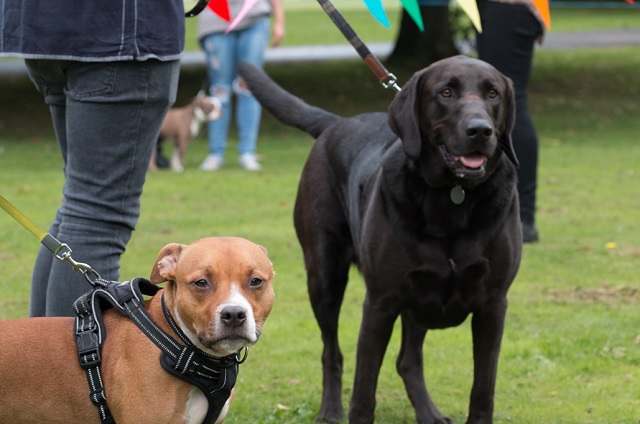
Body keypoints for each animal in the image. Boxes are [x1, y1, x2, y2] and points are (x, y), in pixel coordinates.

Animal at [239, 57, 520, 424]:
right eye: (446, 92)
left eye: (493, 93)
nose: (480, 130)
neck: (452, 199)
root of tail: (337, 122)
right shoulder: (380, 303)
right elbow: (363, 391)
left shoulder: (493, 304)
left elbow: (483, 389)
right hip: (325, 277)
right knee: (332, 352)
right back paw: (330, 411)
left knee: (407, 360)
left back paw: (429, 413)